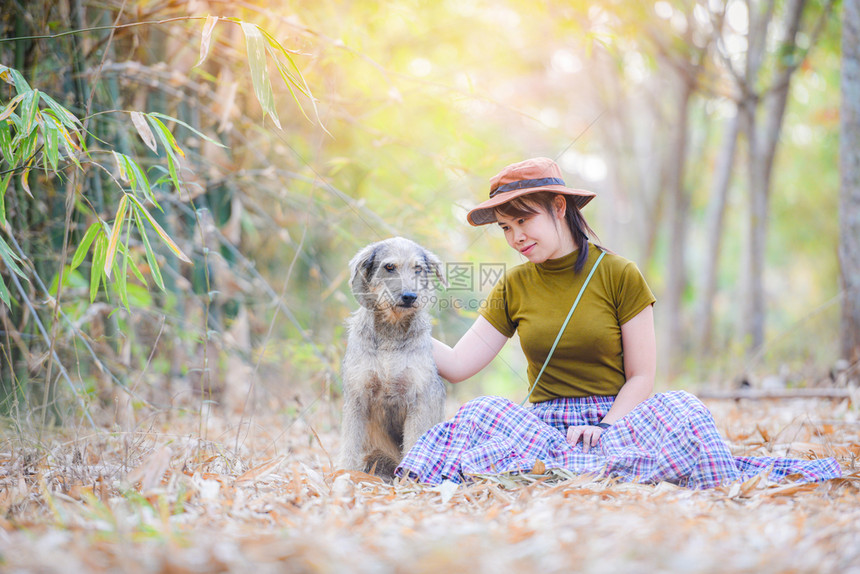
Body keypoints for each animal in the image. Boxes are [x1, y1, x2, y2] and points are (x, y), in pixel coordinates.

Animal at [340, 236, 450, 480]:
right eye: (389, 267)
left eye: (418, 269)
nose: (409, 296)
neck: (391, 334)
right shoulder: (357, 397)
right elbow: (349, 445)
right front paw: (342, 475)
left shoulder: (418, 399)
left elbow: (413, 444)